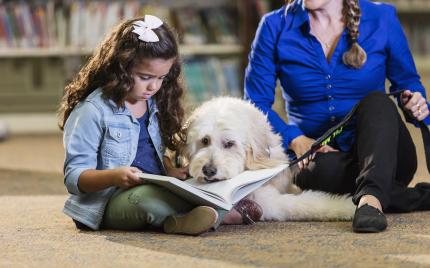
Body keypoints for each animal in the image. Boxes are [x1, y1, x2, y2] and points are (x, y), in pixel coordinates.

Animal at [185, 97, 356, 221]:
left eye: (229, 143)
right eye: (205, 140)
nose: (208, 170)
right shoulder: (268, 202)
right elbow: (310, 204)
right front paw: (350, 207)